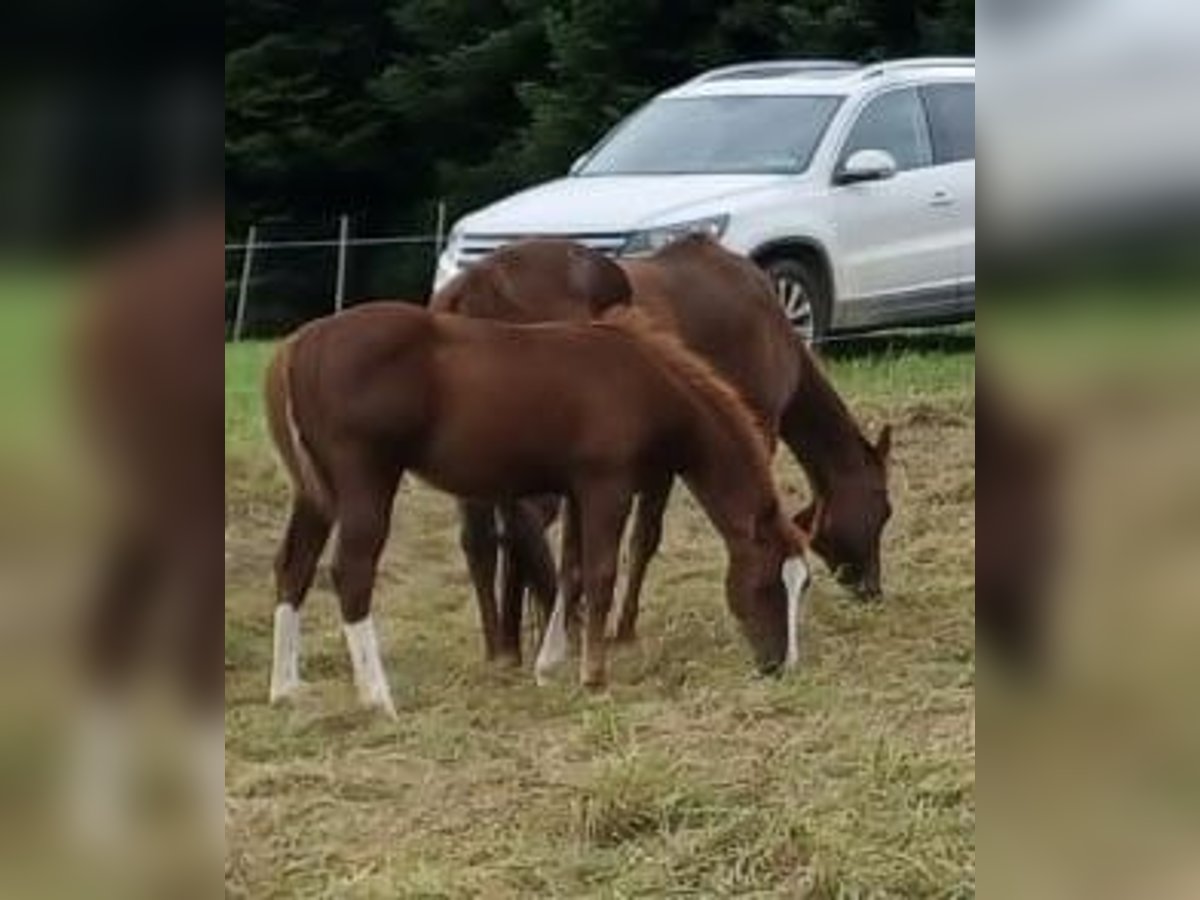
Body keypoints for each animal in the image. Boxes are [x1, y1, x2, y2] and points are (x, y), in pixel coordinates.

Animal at [266, 307, 811, 715]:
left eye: (803, 585)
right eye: (767, 584)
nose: (782, 667)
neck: (644, 381)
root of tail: (300, 345)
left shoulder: (577, 490)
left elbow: (571, 571)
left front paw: (548, 666)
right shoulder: (607, 488)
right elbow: (600, 575)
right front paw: (594, 679)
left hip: (315, 493)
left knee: (294, 567)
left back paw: (286, 689)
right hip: (366, 483)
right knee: (352, 573)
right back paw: (378, 698)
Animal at [434, 232, 892, 672]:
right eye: (884, 510)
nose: (872, 588)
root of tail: (472, 287)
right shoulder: (736, 439)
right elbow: (644, 540)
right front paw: (621, 630)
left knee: (483, 541)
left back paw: (504, 646)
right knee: (524, 526)